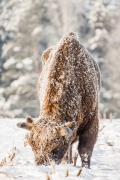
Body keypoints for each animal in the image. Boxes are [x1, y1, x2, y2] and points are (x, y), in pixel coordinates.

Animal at [16, 31, 100, 168]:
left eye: (54, 147)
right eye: (32, 145)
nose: (42, 164)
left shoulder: (92, 120)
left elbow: (85, 150)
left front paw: (85, 167)